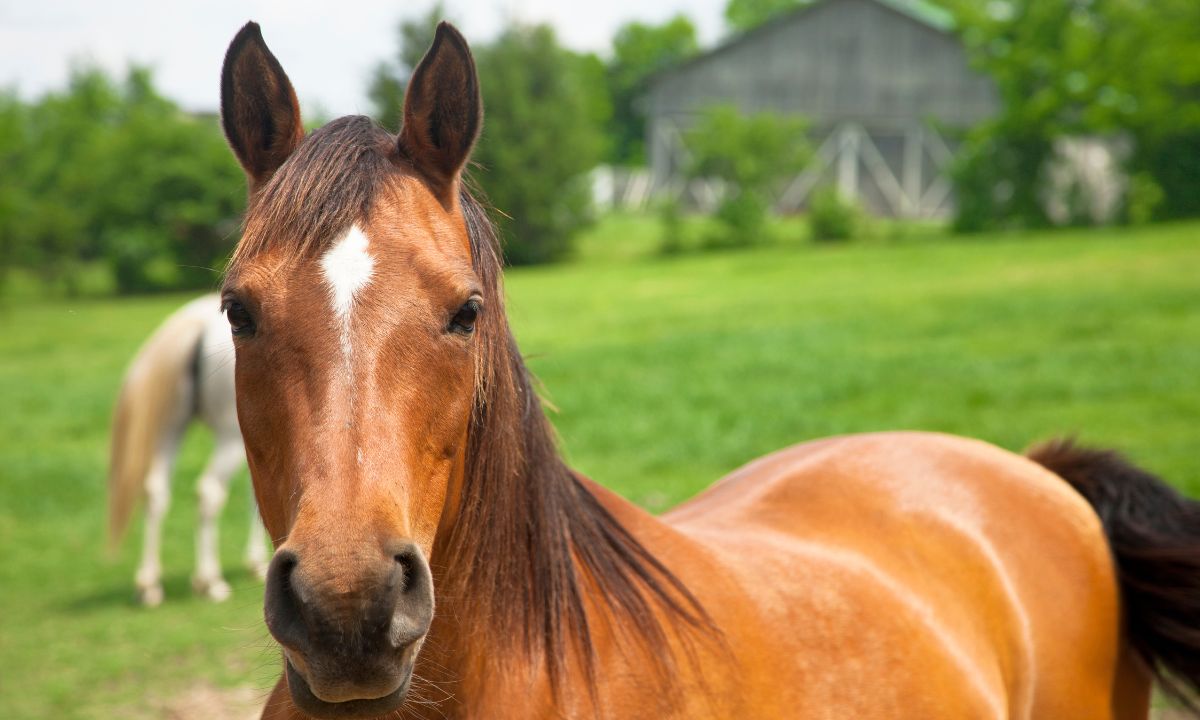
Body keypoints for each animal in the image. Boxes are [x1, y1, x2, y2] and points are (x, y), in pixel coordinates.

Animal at [108, 295, 267, 604]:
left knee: (155, 491)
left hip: (170, 429)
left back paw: (149, 585)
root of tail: (196, 323)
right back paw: (210, 581)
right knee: (209, 492)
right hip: (229, 436)